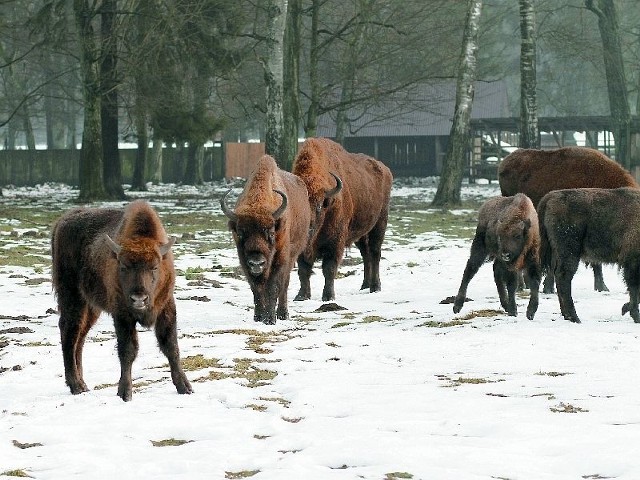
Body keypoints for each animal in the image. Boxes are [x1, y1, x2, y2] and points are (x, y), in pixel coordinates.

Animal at [50, 199, 192, 402]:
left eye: (154, 267)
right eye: (124, 266)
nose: (139, 298)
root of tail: (62, 222)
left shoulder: (166, 307)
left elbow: (171, 346)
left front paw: (185, 387)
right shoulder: (122, 314)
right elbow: (128, 350)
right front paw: (125, 393)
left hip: (91, 306)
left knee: (80, 336)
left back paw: (83, 384)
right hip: (72, 297)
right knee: (69, 332)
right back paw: (76, 385)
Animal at [221, 156, 312, 324]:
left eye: (270, 232)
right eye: (241, 233)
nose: (257, 263)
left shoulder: (280, 258)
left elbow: (274, 287)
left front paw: (270, 319)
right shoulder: (244, 261)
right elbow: (256, 288)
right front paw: (258, 317)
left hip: (292, 256)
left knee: (285, 285)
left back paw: (283, 314)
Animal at [292, 137, 392, 300]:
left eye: (319, 205)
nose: (308, 226)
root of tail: (385, 169)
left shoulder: (335, 243)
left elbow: (329, 269)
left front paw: (328, 296)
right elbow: (303, 269)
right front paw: (302, 296)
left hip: (380, 223)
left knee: (375, 253)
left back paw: (375, 287)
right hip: (361, 233)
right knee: (366, 255)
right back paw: (365, 285)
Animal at [540, 186, 640, 324]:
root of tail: (550, 197)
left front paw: (626, 309)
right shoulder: (632, 261)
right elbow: (634, 289)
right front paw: (634, 314)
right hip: (570, 252)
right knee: (564, 277)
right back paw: (575, 318)